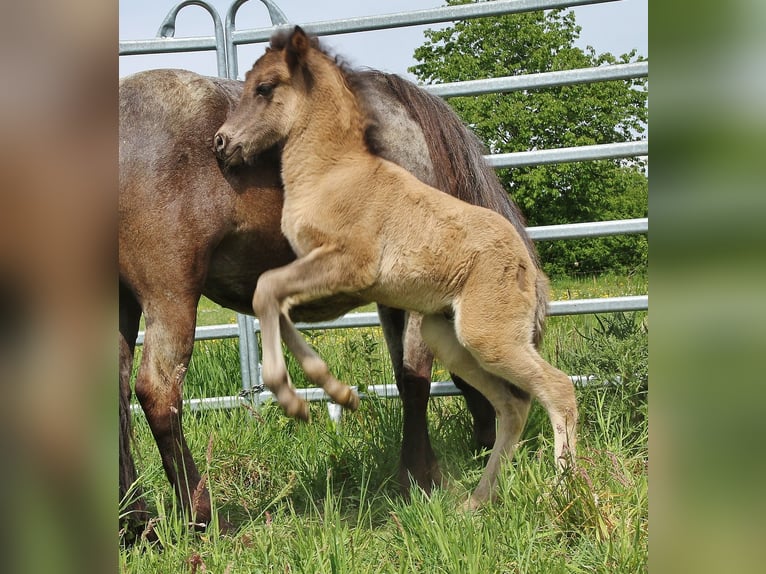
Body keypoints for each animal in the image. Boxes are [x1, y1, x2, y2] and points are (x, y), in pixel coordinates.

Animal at [120, 57, 543, 529]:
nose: (494, 443)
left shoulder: (393, 297)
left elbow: (404, 377)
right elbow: (417, 378)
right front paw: (422, 479)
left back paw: (135, 523)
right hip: (171, 297)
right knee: (158, 393)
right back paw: (201, 515)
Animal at [214, 27, 577, 510]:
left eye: (264, 87)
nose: (221, 143)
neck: (334, 172)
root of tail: (527, 268)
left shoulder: (350, 267)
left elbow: (268, 290)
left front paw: (295, 400)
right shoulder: (328, 277)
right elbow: (272, 302)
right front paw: (333, 393)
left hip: (488, 337)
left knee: (558, 389)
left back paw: (563, 491)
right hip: (450, 339)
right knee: (512, 406)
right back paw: (476, 502)